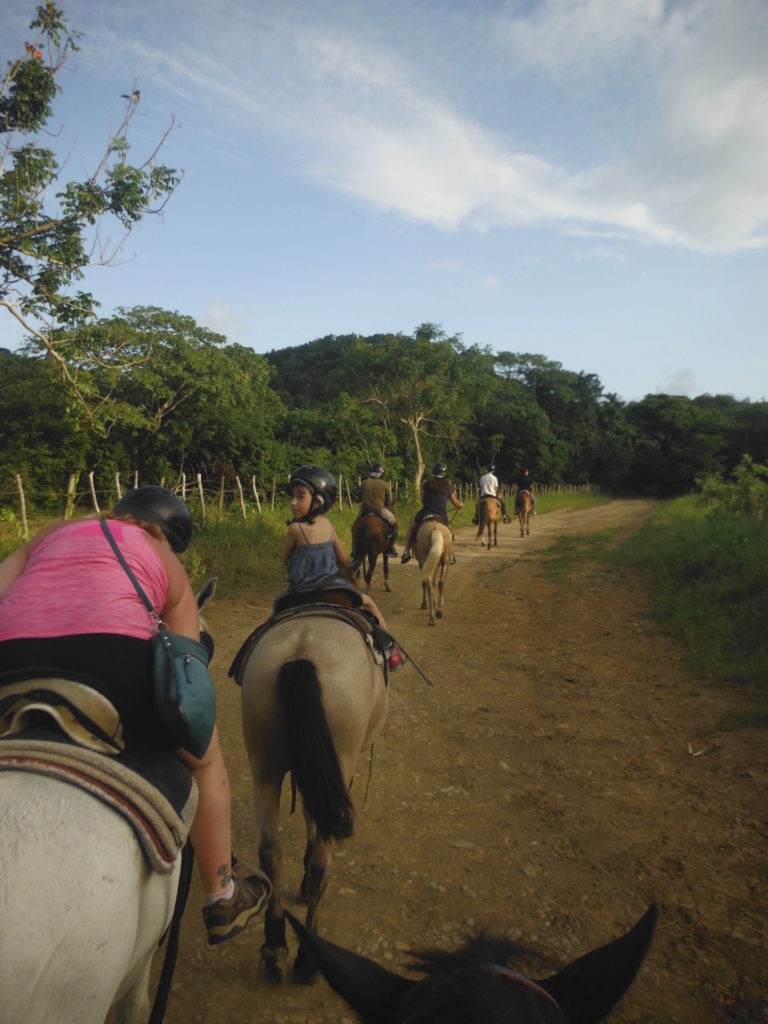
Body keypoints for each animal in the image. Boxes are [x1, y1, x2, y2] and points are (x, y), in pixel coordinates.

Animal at [233, 598, 391, 983]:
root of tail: (300, 654)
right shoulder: (336, 770)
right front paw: (306, 882)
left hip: (264, 766)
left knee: (270, 851)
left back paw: (274, 945)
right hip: (340, 753)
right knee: (322, 857)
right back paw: (307, 958)